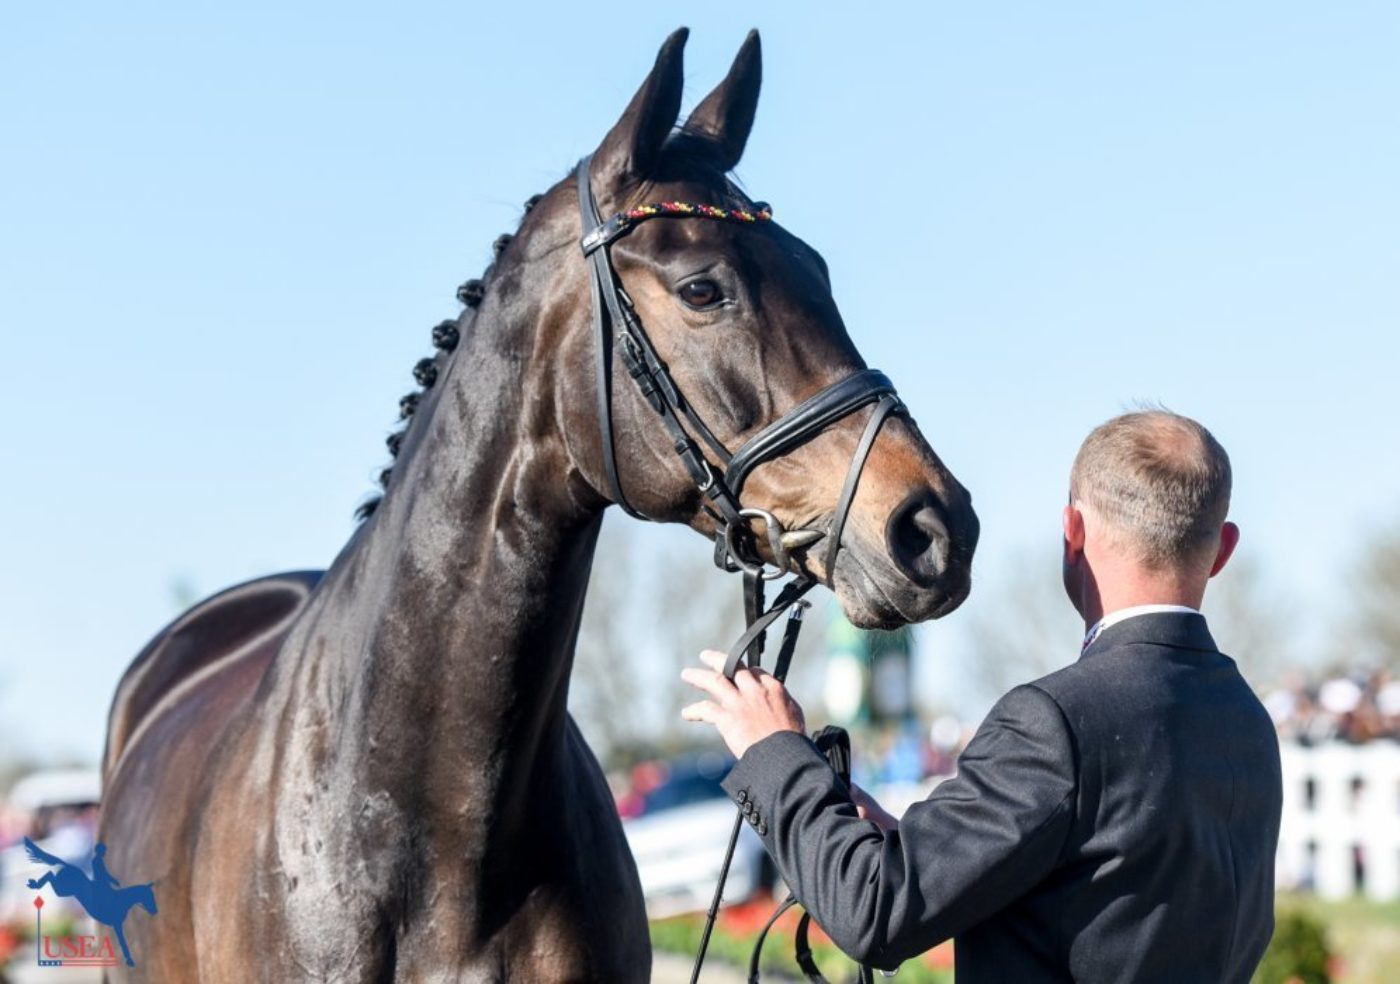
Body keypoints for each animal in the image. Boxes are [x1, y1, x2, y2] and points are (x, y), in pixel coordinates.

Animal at [24, 839, 156, 968]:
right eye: (149, 896)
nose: (155, 911)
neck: (122, 900)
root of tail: (68, 865)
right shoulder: (116, 924)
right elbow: (122, 942)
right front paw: (129, 960)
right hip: (64, 890)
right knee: (50, 874)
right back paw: (35, 884)